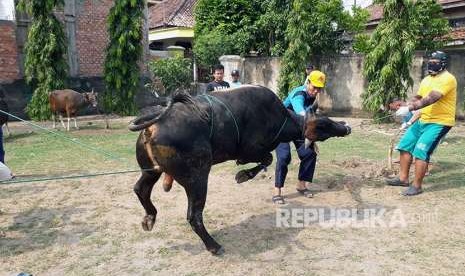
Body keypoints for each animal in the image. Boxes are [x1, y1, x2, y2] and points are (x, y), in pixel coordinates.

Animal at [129, 84, 350, 254]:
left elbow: (267, 160)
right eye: (324, 124)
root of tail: (153, 125)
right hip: (197, 178)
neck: (279, 117)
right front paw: (243, 175)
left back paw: (149, 218)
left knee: (141, 189)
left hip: (152, 171)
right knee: (194, 215)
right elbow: (268, 159)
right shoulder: (249, 151)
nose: (346, 127)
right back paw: (214, 246)